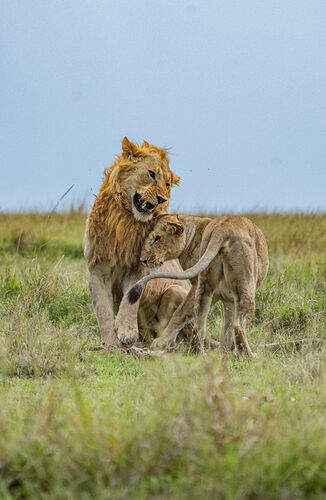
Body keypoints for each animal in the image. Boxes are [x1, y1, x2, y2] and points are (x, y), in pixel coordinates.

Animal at [85, 138, 190, 348]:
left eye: (167, 184)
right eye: (151, 174)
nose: (161, 199)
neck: (124, 220)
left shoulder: (138, 267)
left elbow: (130, 299)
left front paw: (126, 332)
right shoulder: (97, 269)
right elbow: (102, 310)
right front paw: (111, 344)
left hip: (176, 292)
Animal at [126, 214, 268, 356]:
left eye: (157, 238)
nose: (143, 260)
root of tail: (221, 228)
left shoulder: (220, 295)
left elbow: (221, 326)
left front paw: (225, 352)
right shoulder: (202, 287)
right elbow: (183, 313)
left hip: (206, 286)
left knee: (199, 323)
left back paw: (201, 353)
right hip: (246, 287)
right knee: (237, 325)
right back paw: (250, 355)